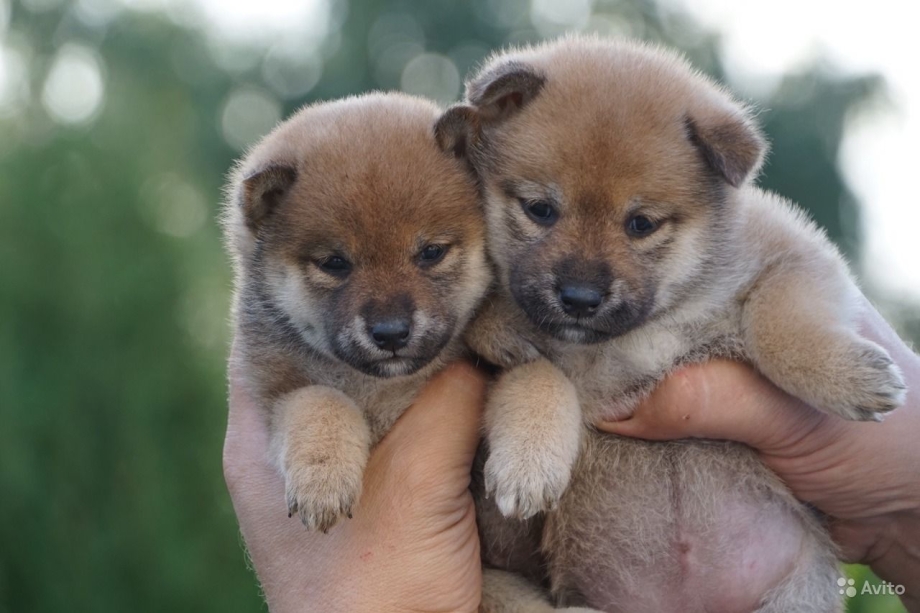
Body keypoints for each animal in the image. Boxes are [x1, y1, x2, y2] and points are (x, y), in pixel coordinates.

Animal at [224, 91, 492, 532]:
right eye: (335, 263)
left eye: (431, 252)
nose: (391, 333)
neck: (377, 387)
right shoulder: (276, 390)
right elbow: (321, 400)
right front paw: (324, 478)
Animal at [436, 38, 904, 612]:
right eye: (540, 210)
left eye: (641, 224)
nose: (579, 298)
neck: (647, 327)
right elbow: (538, 374)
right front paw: (529, 460)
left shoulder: (791, 255)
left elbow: (778, 323)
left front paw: (849, 377)